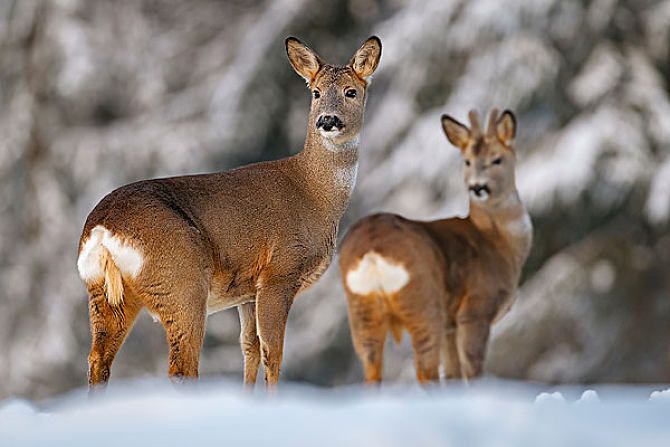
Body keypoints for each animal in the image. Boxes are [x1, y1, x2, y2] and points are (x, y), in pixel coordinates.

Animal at [77, 35, 384, 388]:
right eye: (316, 92)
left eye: (351, 91)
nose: (327, 120)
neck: (315, 195)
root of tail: (103, 229)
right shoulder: (280, 271)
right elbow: (272, 352)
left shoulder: (247, 292)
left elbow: (249, 349)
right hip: (182, 282)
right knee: (181, 366)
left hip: (104, 293)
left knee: (98, 360)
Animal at [338, 109, 532, 384]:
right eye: (467, 162)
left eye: (497, 160)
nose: (478, 187)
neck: (498, 243)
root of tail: (373, 252)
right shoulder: (475, 308)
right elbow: (472, 369)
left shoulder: (451, 324)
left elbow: (452, 374)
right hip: (424, 303)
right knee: (425, 372)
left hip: (361, 310)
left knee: (373, 373)